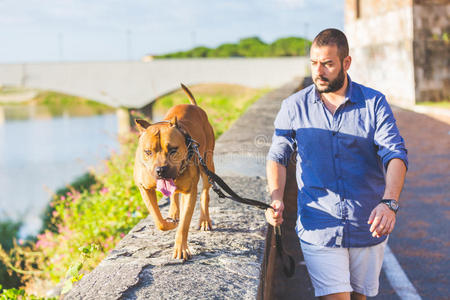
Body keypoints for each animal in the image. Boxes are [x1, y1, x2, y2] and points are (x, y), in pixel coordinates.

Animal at [133, 84, 215, 260]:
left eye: (173, 150)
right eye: (148, 152)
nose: (161, 170)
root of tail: (194, 106)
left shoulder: (190, 192)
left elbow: (184, 225)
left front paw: (181, 248)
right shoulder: (144, 188)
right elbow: (159, 221)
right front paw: (170, 222)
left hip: (207, 165)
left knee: (205, 194)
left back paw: (204, 220)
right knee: (174, 195)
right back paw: (174, 212)